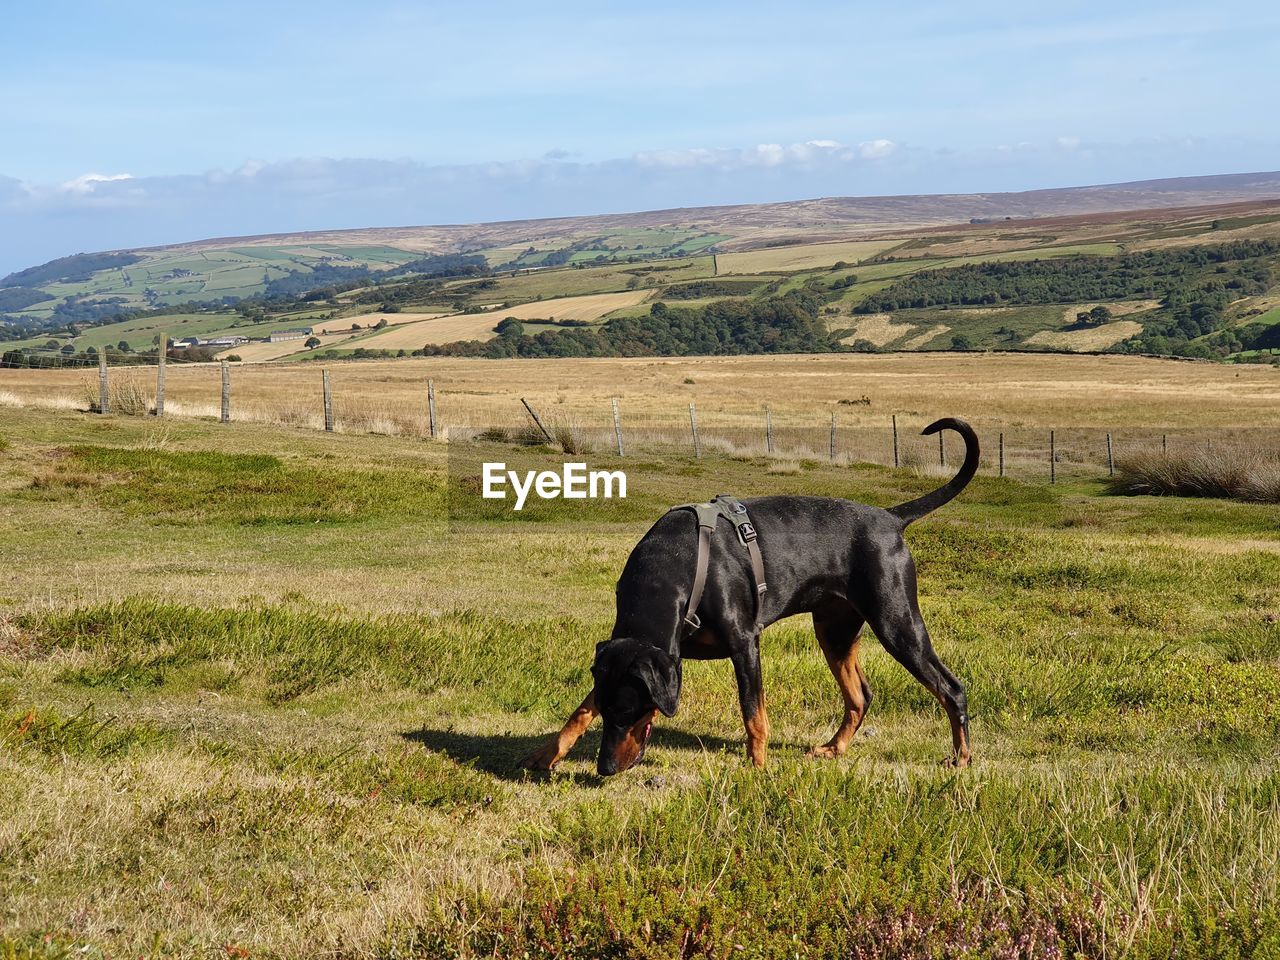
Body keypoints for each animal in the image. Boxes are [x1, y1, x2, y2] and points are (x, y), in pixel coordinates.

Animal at [519, 417, 977, 778]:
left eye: (632, 711)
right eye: (609, 709)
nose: (605, 768)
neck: (675, 568)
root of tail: (891, 519)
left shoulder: (745, 644)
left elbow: (753, 713)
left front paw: (757, 766)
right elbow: (580, 710)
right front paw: (547, 753)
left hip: (896, 621)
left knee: (951, 687)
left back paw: (960, 757)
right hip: (835, 630)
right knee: (860, 695)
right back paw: (834, 748)